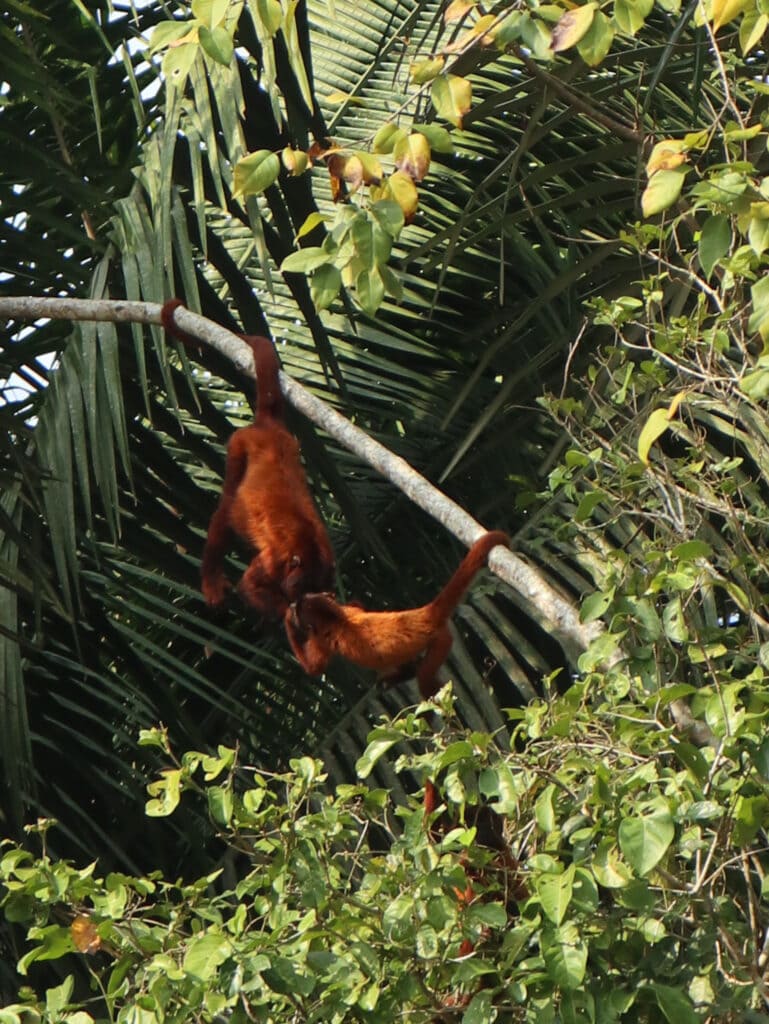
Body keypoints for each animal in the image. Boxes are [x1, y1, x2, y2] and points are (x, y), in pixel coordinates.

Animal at [160, 296, 335, 614]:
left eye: (313, 587)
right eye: (300, 586)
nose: (298, 595)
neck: (306, 549)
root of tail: (268, 427)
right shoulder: (276, 560)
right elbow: (249, 586)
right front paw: (292, 612)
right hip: (239, 444)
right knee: (226, 510)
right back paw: (211, 579)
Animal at [286, 528, 507, 696]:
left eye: (300, 614)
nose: (294, 609)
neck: (333, 616)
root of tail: (426, 613)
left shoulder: (322, 635)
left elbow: (314, 668)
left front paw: (288, 619)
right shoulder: (347, 610)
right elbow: (357, 604)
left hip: (441, 640)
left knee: (424, 678)